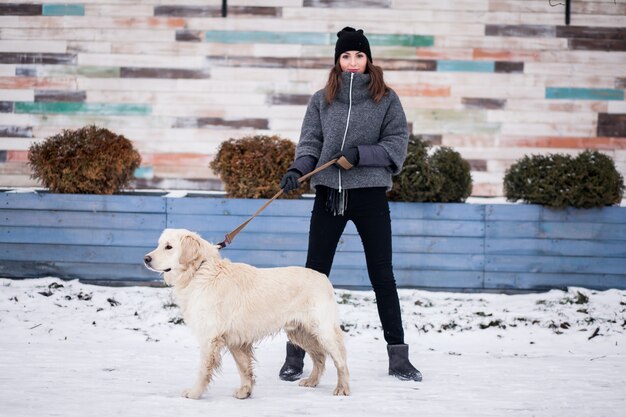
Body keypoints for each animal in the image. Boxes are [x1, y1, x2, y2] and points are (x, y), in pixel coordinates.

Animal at [144, 229, 348, 398]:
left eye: (169, 247)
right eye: (159, 244)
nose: (146, 258)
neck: (200, 271)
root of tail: (323, 277)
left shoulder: (210, 338)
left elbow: (203, 370)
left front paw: (195, 393)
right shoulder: (236, 339)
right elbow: (244, 368)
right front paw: (245, 391)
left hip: (323, 331)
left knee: (340, 360)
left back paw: (342, 388)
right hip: (299, 332)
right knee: (320, 357)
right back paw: (312, 381)